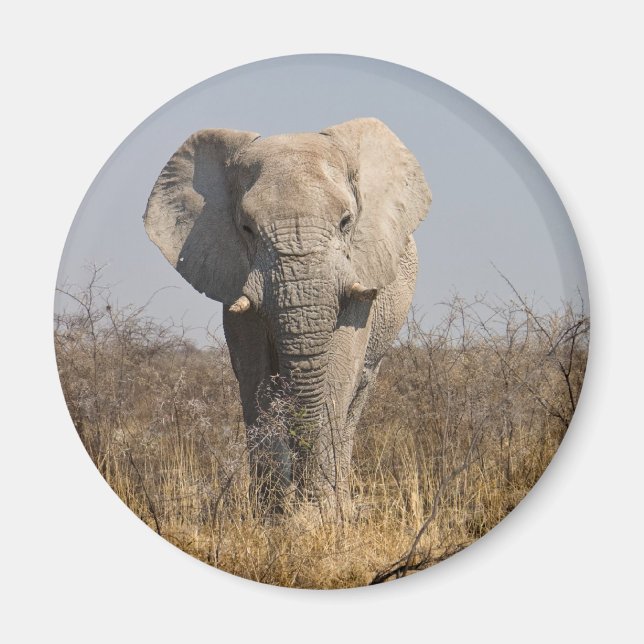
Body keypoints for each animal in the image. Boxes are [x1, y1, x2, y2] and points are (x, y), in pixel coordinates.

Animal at [143, 117, 431, 519]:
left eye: (346, 222)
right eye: (247, 228)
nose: (304, 500)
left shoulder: (359, 273)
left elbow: (337, 373)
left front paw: (321, 517)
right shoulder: (233, 276)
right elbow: (255, 376)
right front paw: (275, 518)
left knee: (357, 394)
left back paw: (344, 505)